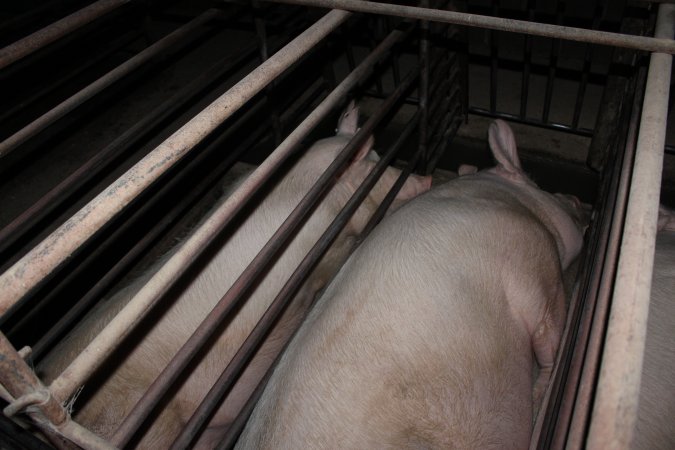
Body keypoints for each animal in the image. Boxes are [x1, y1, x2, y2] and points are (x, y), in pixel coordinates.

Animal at [238, 118, 588, 448]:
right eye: (542, 185)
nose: (576, 199)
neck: (515, 202)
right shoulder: (536, 260)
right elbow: (550, 336)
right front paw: (543, 392)